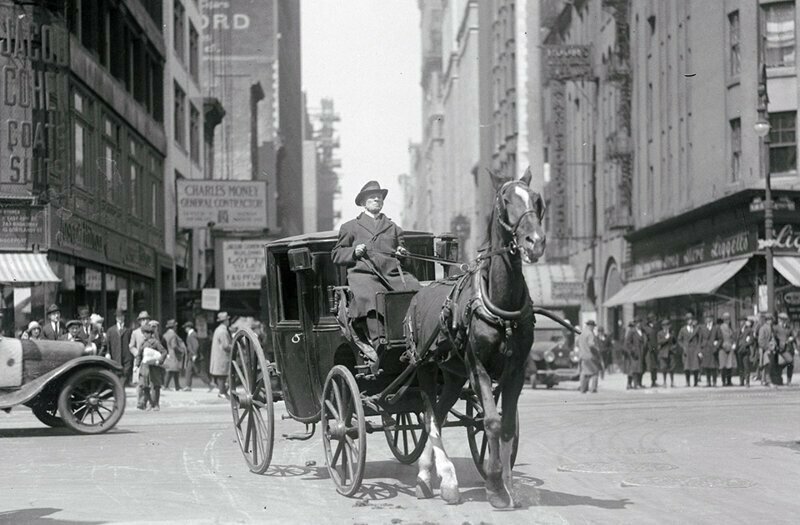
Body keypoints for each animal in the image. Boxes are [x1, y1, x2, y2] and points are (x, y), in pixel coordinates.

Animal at [404, 166, 548, 506]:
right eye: (505, 201)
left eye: (537, 200)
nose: (535, 242)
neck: (500, 307)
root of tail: (418, 294)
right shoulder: (477, 367)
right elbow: (491, 422)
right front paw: (494, 486)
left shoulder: (516, 370)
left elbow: (505, 426)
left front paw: (508, 486)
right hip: (425, 367)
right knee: (429, 416)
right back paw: (439, 479)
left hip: (453, 375)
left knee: (440, 413)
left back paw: (432, 476)